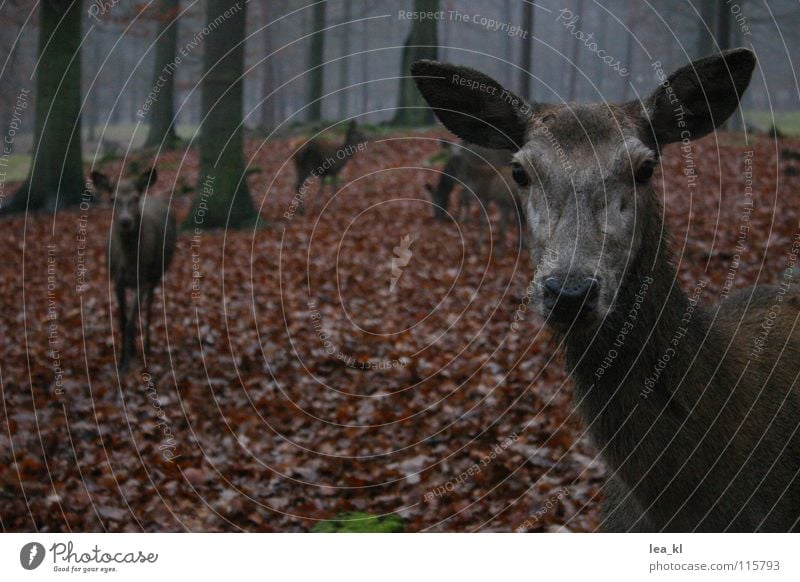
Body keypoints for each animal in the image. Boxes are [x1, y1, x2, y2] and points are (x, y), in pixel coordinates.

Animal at [98, 167, 177, 372]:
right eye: (112, 198)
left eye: (135, 197)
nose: (125, 221)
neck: (128, 260)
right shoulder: (116, 280)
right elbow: (123, 320)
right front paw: (122, 358)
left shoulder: (142, 278)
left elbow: (131, 321)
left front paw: (126, 362)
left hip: (157, 272)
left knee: (149, 306)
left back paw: (147, 347)